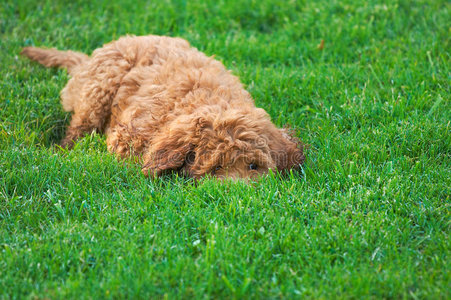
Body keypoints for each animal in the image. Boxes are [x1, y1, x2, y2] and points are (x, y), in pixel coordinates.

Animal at [20, 35, 304, 180]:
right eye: (215, 170)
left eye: (254, 167)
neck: (208, 102)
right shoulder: (129, 134)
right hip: (101, 86)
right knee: (80, 126)